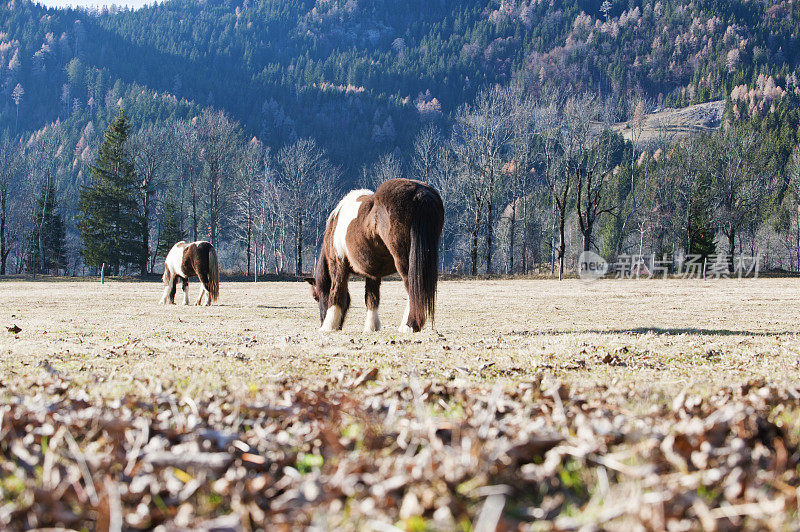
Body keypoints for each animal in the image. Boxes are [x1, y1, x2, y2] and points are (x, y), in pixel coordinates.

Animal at [306, 178, 444, 332]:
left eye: (316, 296)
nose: (322, 321)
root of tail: (420, 193)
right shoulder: (373, 273)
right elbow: (371, 298)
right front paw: (371, 327)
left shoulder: (338, 264)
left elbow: (336, 293)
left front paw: (328, 326)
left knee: (413, 289)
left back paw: (409, 325)